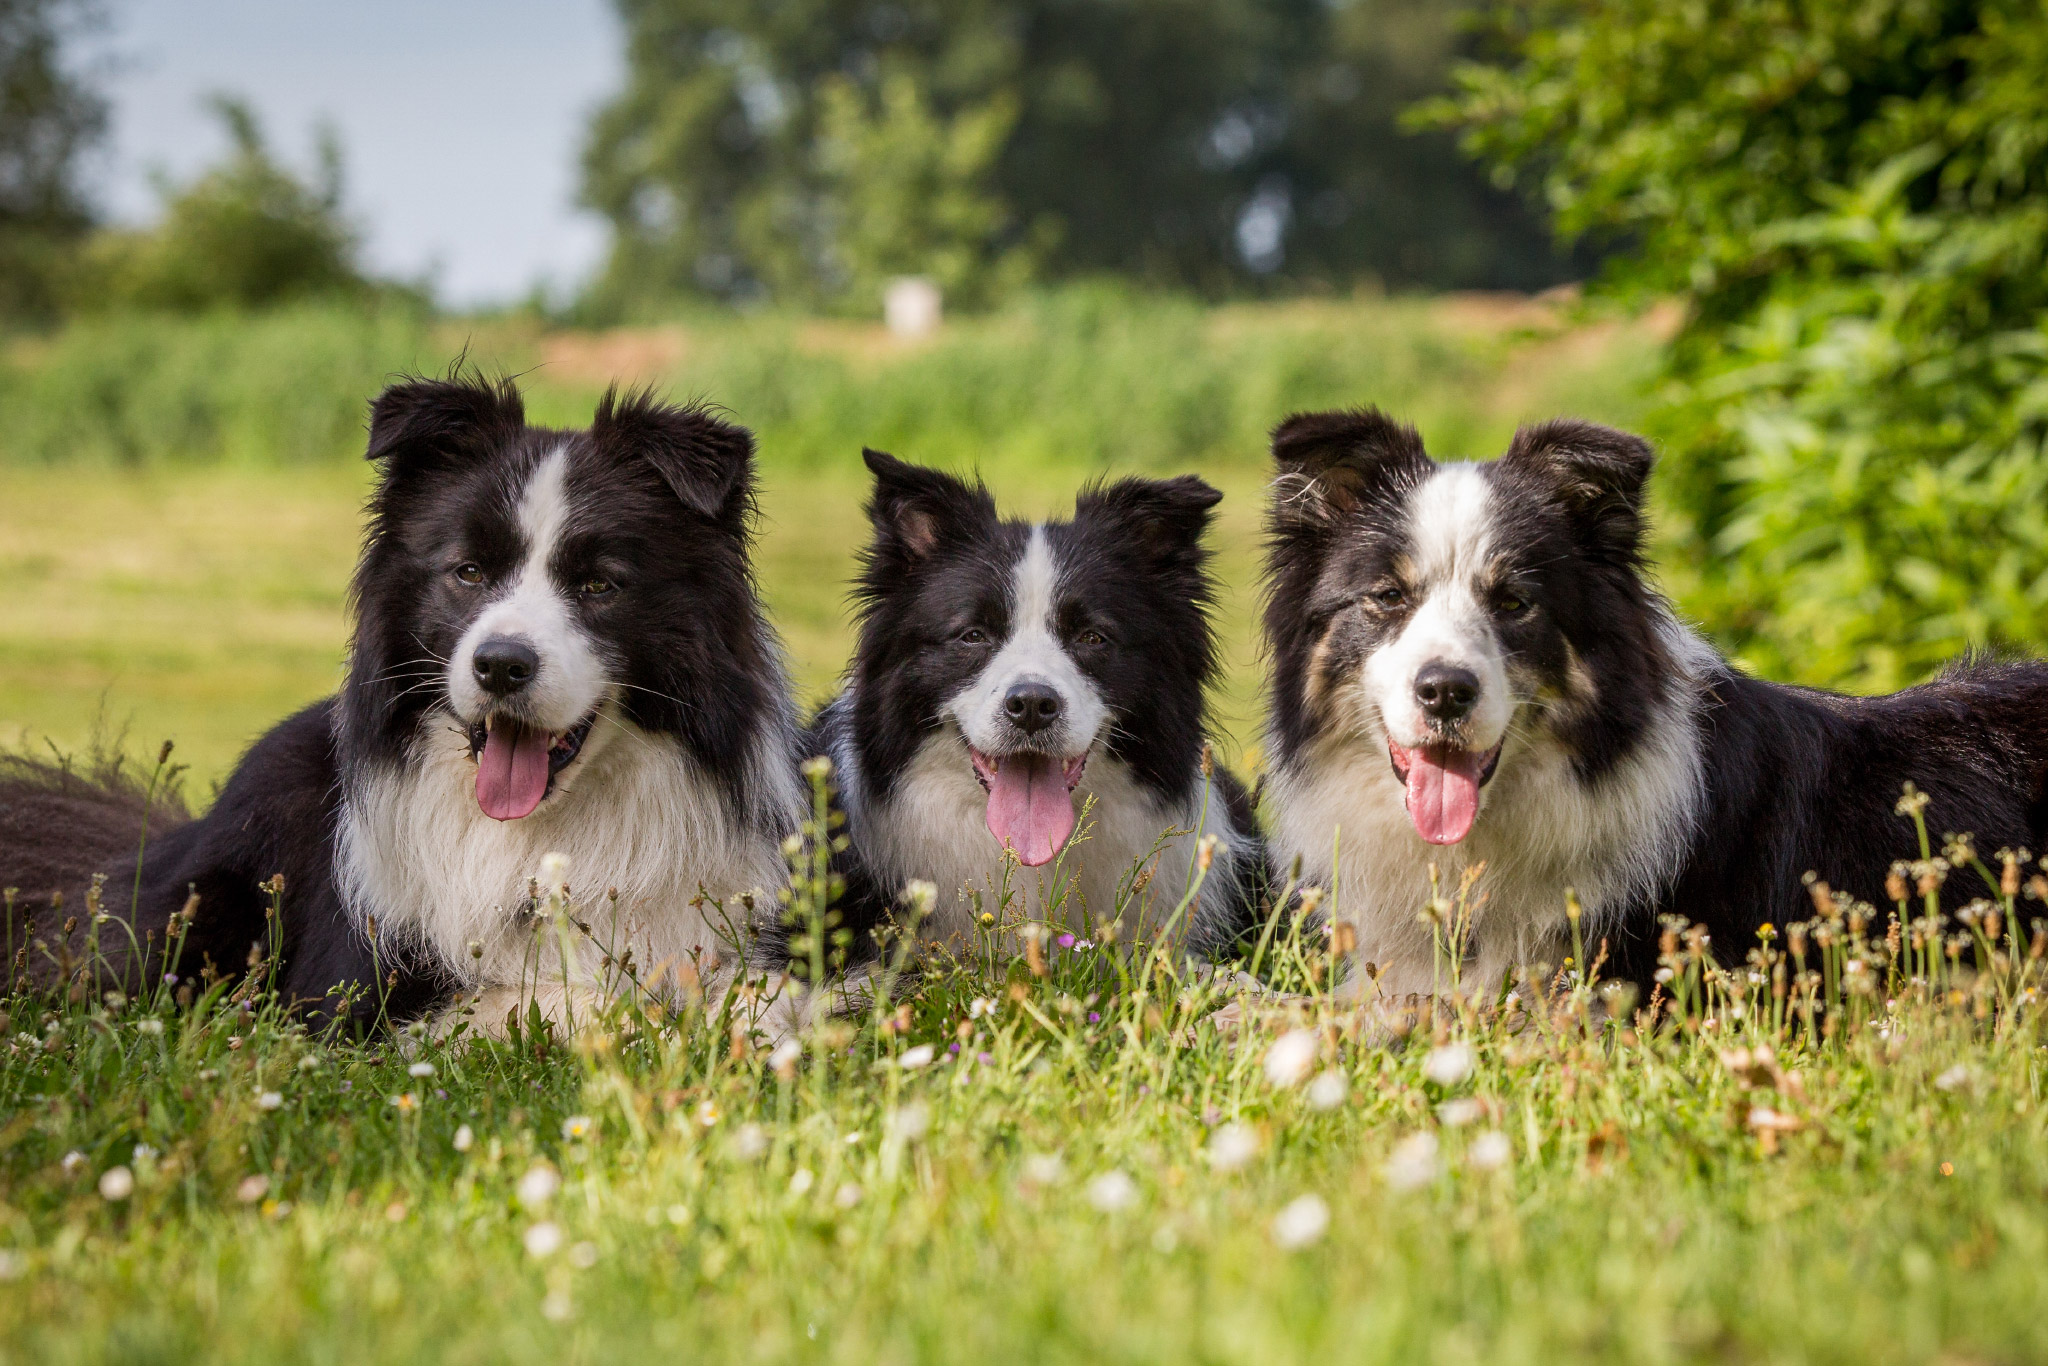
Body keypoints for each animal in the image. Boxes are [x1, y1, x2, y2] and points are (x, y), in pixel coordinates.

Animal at [0, 376, 802, 1036]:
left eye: (599, 585)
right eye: (467, 572)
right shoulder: (351, 999)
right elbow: (565, 999)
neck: (540, 833)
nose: (500, 666)